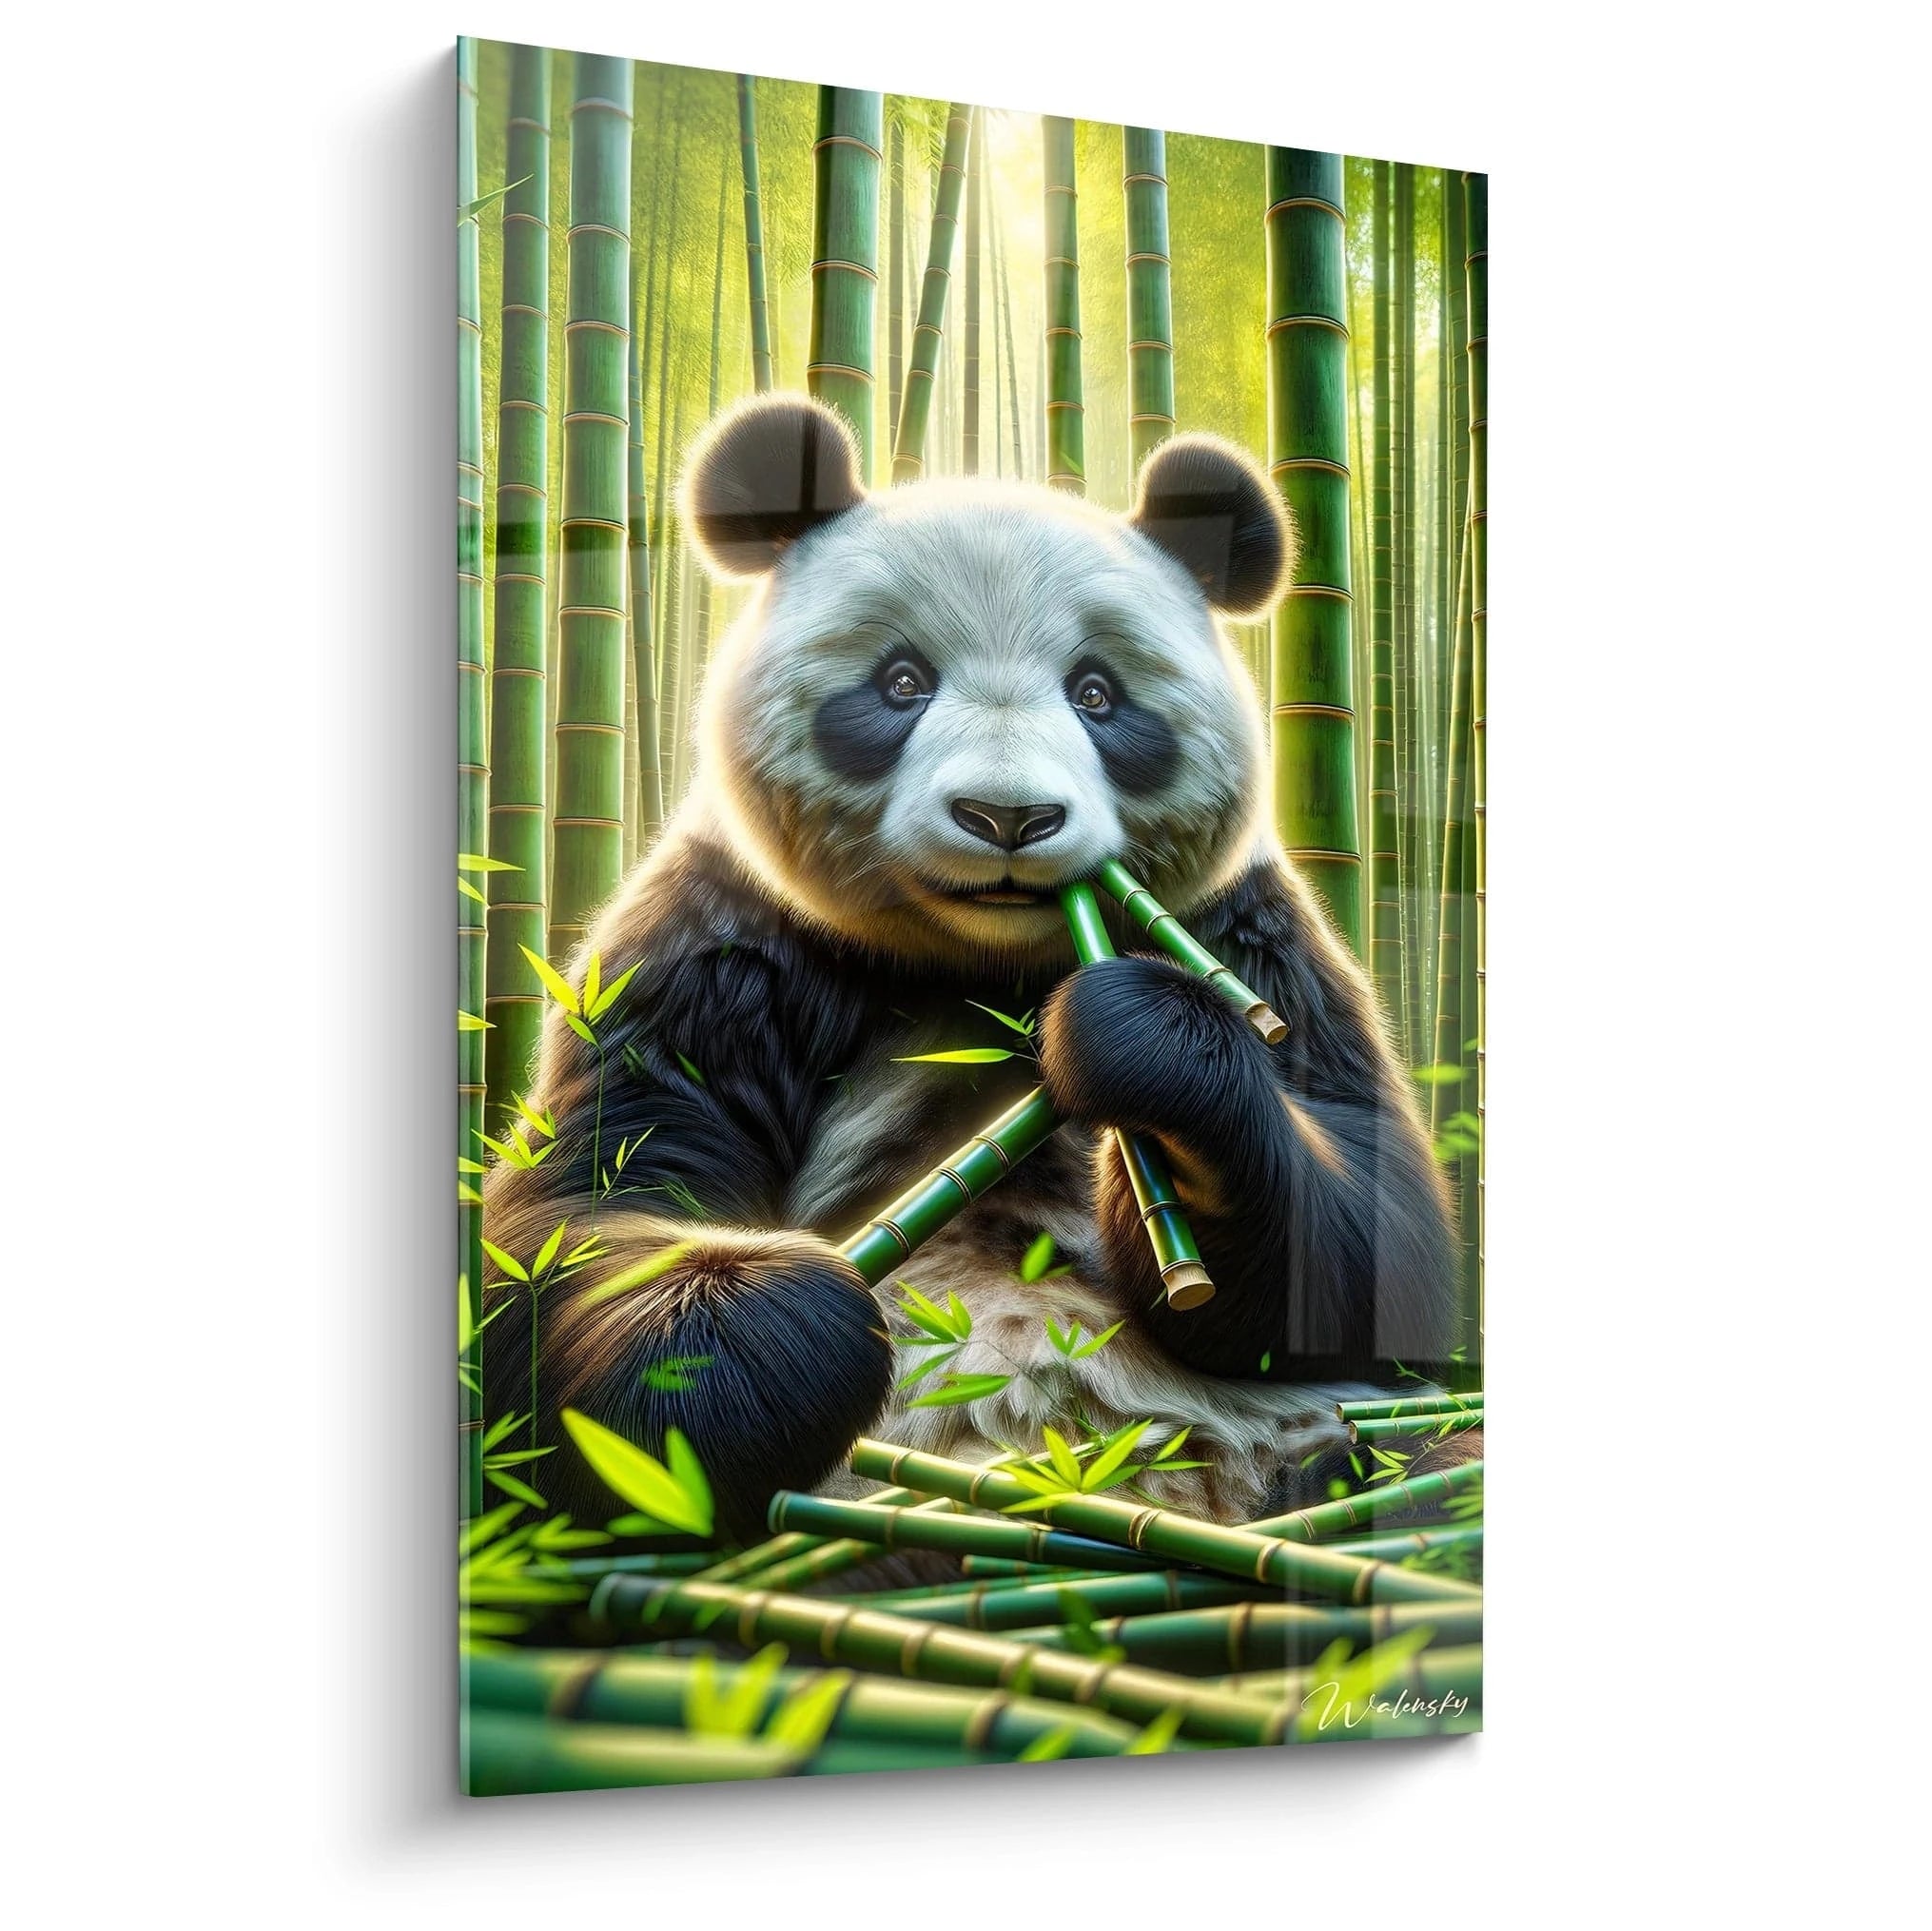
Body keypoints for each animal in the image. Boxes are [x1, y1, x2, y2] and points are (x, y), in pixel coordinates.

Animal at [481, 392, 1466, 1543]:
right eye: (900, 682)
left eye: (1098, 694)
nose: (1008, 816)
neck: (981, 965)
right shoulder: (716, 944)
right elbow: (593, 1197)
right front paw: (761, 1330)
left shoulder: (1248, 933)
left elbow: (1374, 1253)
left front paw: (1143, 1047)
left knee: (1427, 1455)